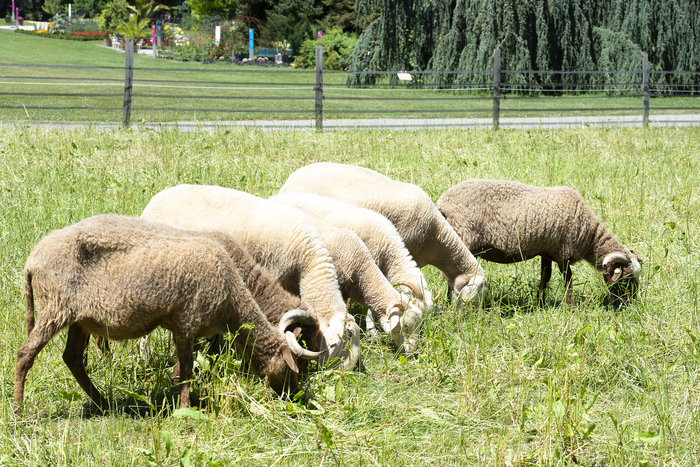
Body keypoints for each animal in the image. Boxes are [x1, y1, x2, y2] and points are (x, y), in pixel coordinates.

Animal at [15, 214, 322, 412]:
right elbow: (186, 366)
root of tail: (32, 259)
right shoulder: (187, 320)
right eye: (293, 364)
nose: (295, 396)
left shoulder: (194, 327)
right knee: (25, 355)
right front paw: (185, 407)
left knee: (73, 359)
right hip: (55, 307)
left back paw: (103, 404)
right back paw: (18, 410)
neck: (238, 287)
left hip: (79, 318)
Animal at [438, 180, 640, 308]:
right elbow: (568, 280)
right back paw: (449, 303)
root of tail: (442, 202)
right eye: (626, 279)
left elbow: (545, 277)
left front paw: (540, 303)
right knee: (450, 275)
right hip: (462, 237)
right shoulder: (562, 253)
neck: (588, 235)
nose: (630, 305)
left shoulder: (547, 252)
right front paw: (571, 307)